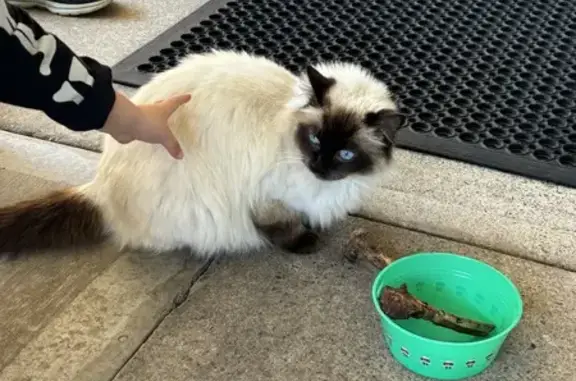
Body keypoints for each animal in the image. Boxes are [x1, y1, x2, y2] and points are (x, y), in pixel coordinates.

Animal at [0, 50, 404, 256]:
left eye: (347, 155)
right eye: (317, 140)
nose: (319, 166)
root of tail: (99, 188)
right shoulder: (270, 196)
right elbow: (281, 224)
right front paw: (303, 241)